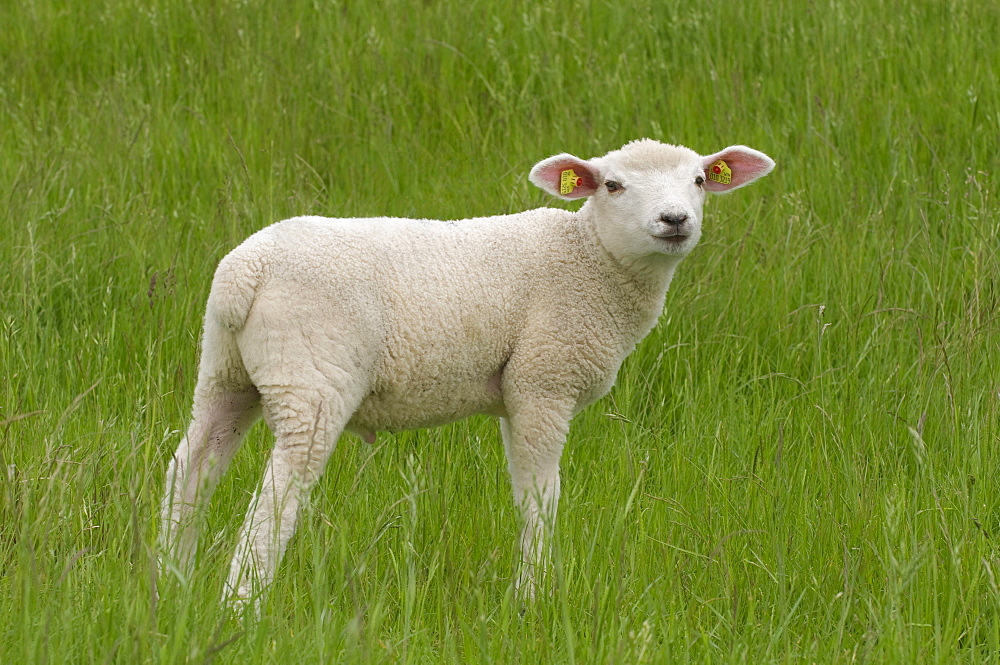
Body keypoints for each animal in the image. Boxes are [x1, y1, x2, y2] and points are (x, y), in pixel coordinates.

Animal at [160, 136, 776, 608]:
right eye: (612, 186)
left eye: (699, 180)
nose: (675, 220)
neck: (591, 260)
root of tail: (245, 272)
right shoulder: (543, 380)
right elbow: (539, 497)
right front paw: (532, 598)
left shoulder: (518, 389)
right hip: (311, 375)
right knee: (278, 492)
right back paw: (241, 605)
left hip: (225, 371)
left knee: (190, 468)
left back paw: (169, 585)